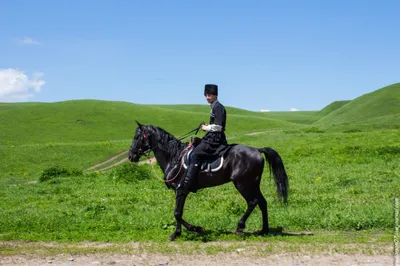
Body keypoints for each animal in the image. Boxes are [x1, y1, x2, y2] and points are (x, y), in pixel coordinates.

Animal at [130, 121, 290, 241]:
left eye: (137, 136)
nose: (131, 155)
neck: (174, 157)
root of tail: (257, 150)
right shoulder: (178, 190)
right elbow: (177, 213)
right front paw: (177, 233)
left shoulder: (181, 189)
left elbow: (177, 213)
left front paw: (195, 229)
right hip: (253, 184)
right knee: (262, 202)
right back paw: (264, 230)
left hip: (242, 184)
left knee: (253, 202)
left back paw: (240, 227)